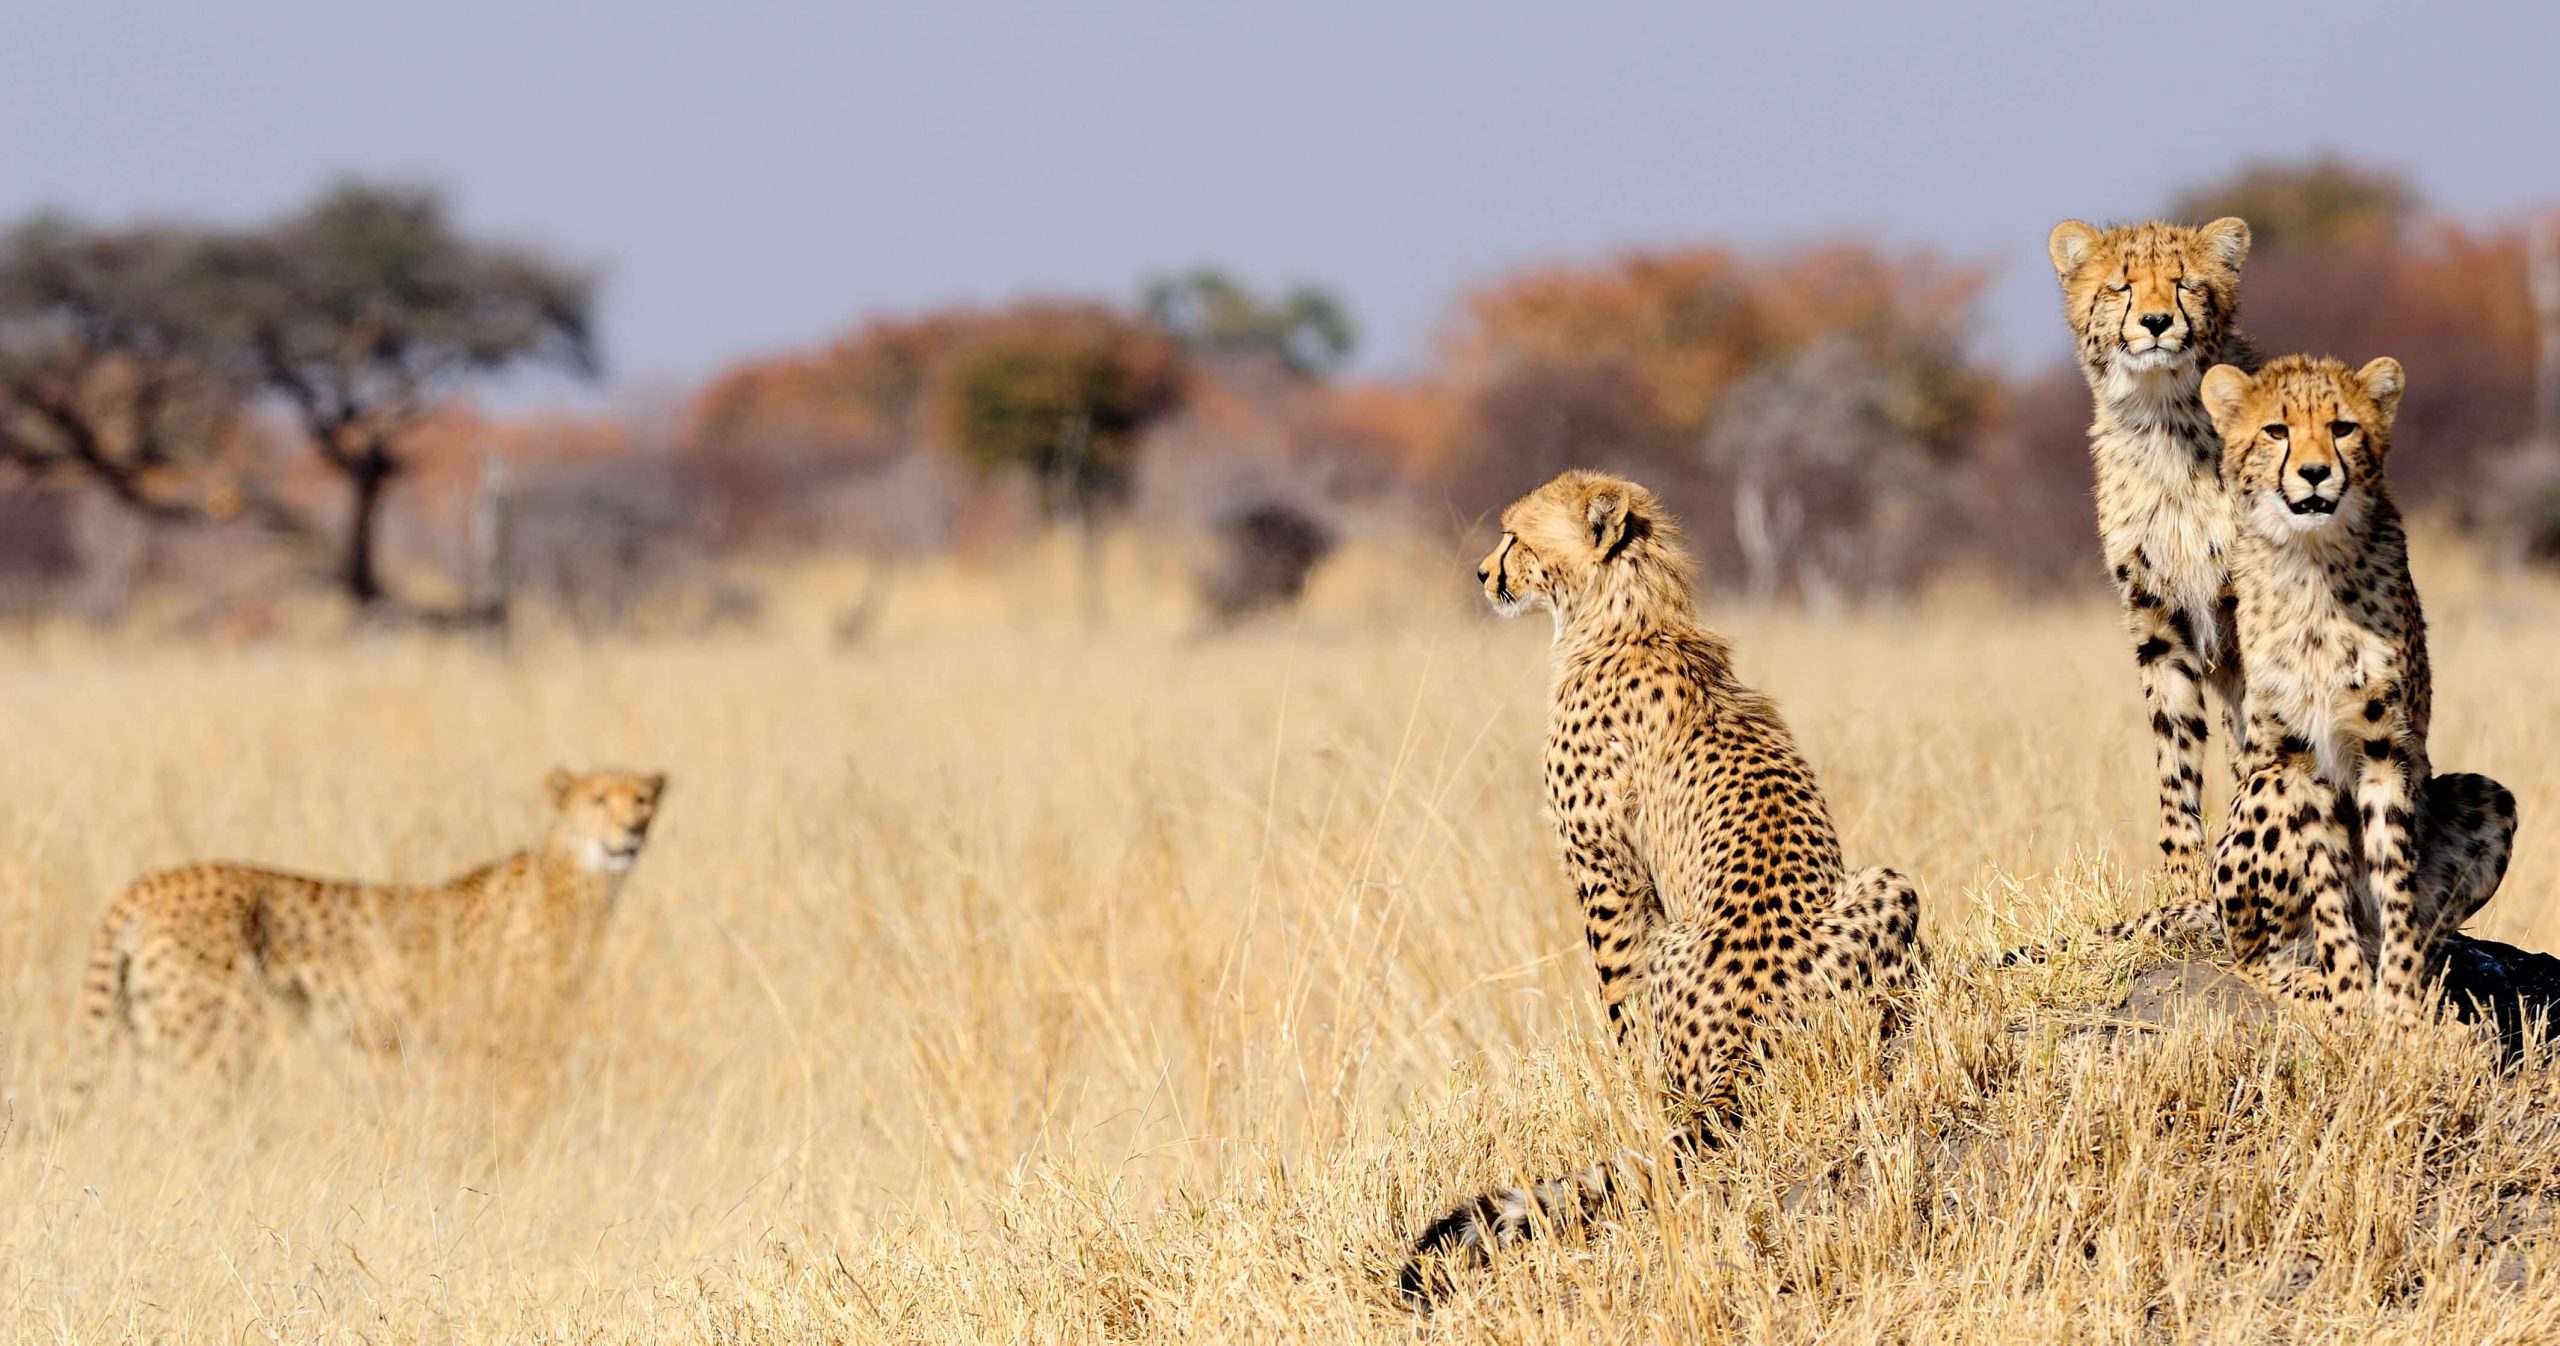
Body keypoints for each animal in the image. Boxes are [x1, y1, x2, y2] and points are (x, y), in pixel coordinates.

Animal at [78, 767, 668, 1085]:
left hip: (155, 1028)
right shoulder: (501, 1038)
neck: (581, 882)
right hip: (208, 1033)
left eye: (642, 800)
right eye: (599, 799)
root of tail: (148, 882)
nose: (634, 830)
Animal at [1397, 470, 1924, 1307]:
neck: (1626, 611)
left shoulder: (1606, 875)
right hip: (1888, 883)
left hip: (1683, 936)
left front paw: (1627, 1088)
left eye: (1515, 536)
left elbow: (1619, 1008)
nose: (1481, 573)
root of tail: (1748, 1039)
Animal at [2199, 355, 2516, 1024]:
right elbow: (2326, 882)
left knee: (2424, 927)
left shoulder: (2385, 749)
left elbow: (2394, 884)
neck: (2313, 562)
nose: (2316, 472)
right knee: (2252, 956)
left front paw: (2397, 1006)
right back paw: (2310, 983)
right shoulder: (2296, 758)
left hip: (2488, 796)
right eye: (2276, 431)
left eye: (2342, 428)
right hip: (2262, 792)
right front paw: (2348, 993)